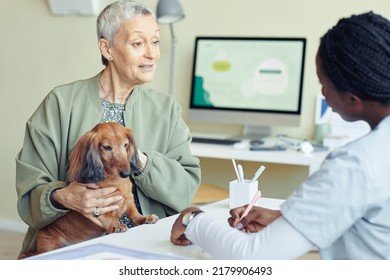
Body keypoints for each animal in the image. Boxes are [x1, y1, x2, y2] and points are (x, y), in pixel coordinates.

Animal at [18, 123, 158, 260]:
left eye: (125, 145)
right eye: (107, 147)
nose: (126, 173)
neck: (115, 180)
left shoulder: (128, 200)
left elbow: (134, 214)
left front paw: (145, 218)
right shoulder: (99, 204)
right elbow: (109, 216)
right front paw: (116, 225)